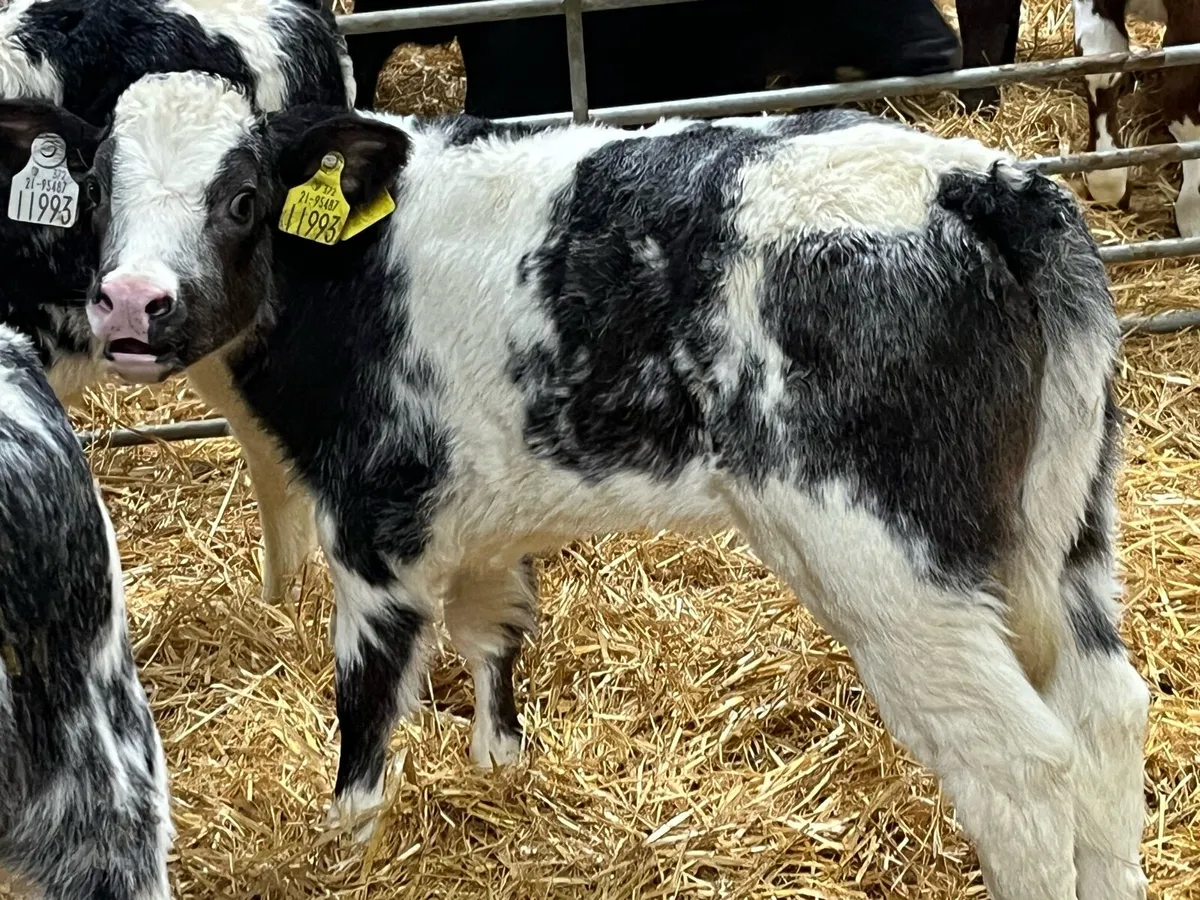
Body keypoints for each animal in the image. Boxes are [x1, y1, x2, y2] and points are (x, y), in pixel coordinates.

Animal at [85, 70, 1150, 899]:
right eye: (95, 188)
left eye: (243, 197)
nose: (133, 305)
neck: (351, 272)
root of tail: (975, 180)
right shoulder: (482, 515)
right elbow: (494, 636)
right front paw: (500, 772)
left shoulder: (378, 520)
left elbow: (367, 699)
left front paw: (345, 849)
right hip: (1065, 529)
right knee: (1105, 712)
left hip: (888, 555)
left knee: (1016, 758)